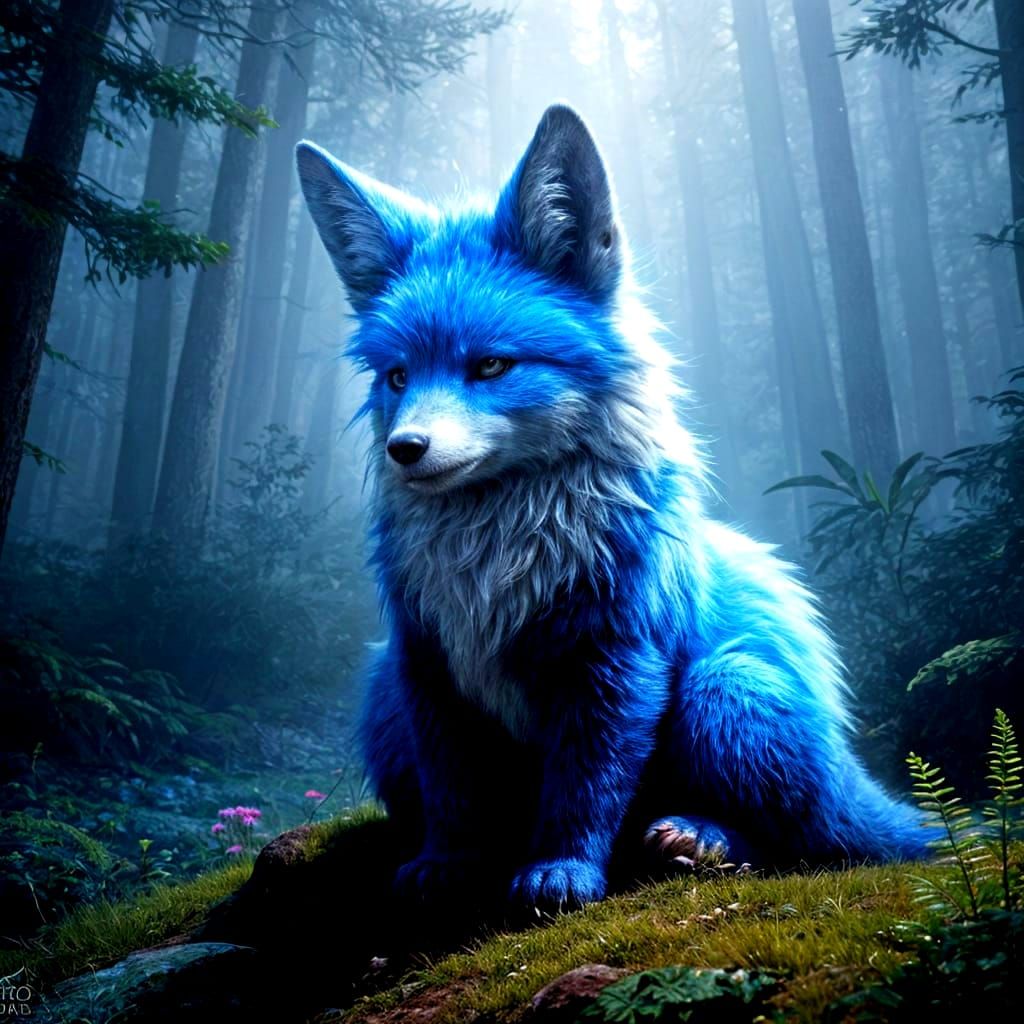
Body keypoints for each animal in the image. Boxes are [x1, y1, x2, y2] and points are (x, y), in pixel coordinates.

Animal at [295, 104, 930, 912]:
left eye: (491, 365)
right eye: (398, 376)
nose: (405, 449)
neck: (498, 559)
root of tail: (848, 770)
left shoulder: (616, 659)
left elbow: (587, 786)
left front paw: (562, 870)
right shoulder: (425, 666)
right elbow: (453, 792)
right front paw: (449, 863)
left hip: (725, 689)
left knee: (802, 841)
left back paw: (699, 839)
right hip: (380, 697)